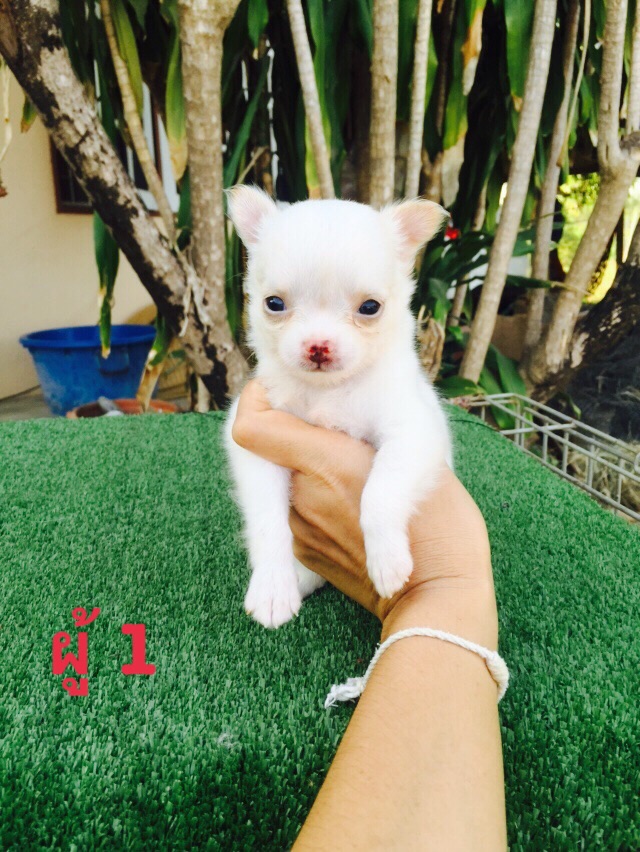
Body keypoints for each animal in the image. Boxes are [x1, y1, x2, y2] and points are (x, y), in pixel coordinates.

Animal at [224, 186, 452, 628]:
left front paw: (387, 560)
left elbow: (380, 492)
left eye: (370, 307)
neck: (327, 392)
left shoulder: (413, 433)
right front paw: (272, 586)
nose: (319, 346)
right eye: (273, 303)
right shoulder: (254, 448)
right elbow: (268, 520)